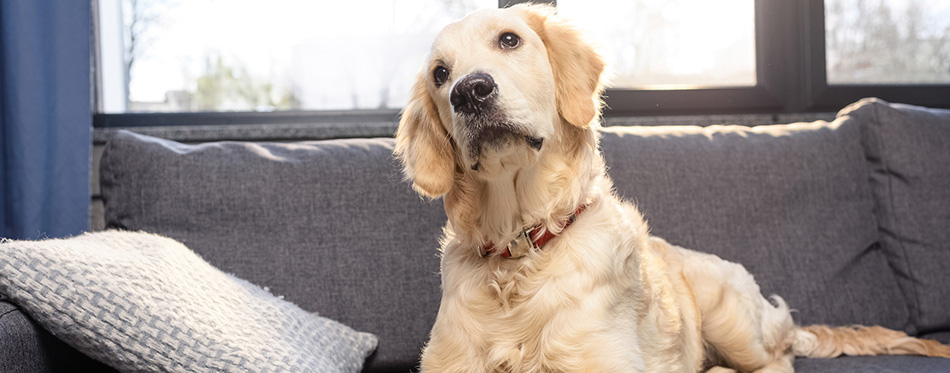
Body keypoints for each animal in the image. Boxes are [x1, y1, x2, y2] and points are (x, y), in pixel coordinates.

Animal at [392, 3, 944, 372]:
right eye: (440, 74)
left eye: (509, 40)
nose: (469, 91)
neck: (520, 249)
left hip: (731, 319)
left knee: (776, 361)